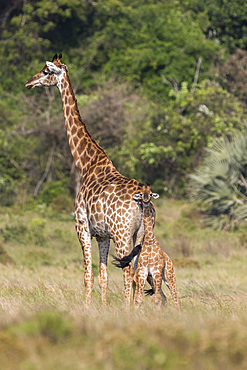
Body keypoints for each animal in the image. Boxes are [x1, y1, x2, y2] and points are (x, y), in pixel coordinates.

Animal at [24, 52, 151, 306]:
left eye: (46, 71)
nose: (29, 82)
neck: (86, 164)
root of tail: (142, 199)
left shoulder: (82, 227)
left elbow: (87, 276)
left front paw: (88, 308)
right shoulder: (102, 235)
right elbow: (103, 277)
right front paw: (101, 308)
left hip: (123, 234)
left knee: (128, 273)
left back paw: (128, 310)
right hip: (140, 234)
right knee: (137, 272)